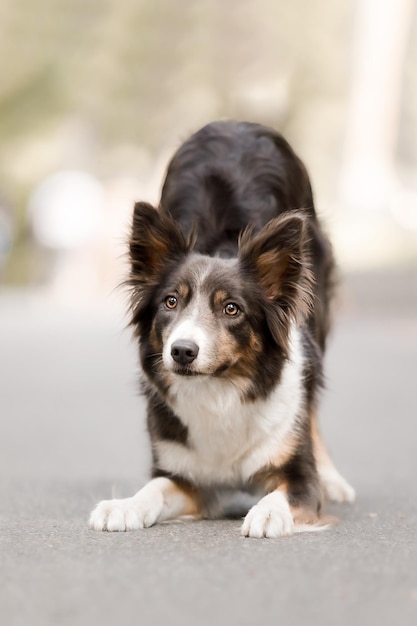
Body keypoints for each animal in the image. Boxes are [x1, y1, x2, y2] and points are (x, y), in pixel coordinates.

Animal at [89, 120, 352, 536]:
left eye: (231, 309)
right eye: (171, 302)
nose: (182, 351)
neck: (220, 389)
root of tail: (237, 122)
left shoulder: (298, 477)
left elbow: (288, 489)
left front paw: (268, 512)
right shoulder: (183, 474)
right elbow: (154, 489)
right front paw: (124, 506)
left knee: (313, 406)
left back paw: (333, 478)